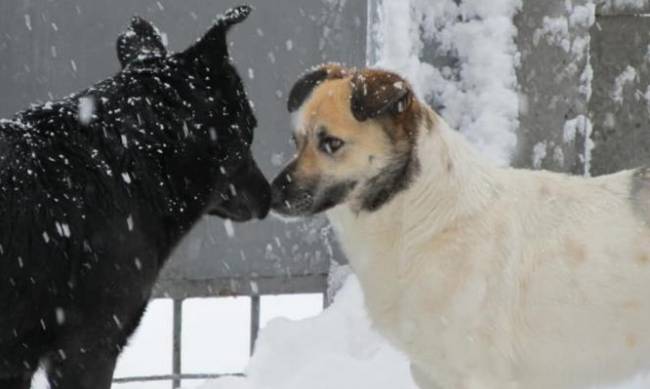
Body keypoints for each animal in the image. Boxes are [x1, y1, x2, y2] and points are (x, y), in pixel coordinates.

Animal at [268, 65, 648, 386]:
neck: (419, 219)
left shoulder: (479, 374)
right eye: (296, 140)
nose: (271, 195)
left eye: (331, 143)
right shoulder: (430, 373)